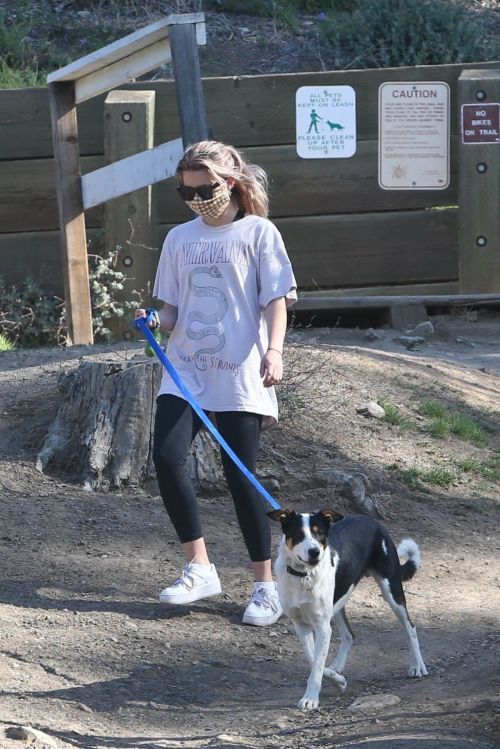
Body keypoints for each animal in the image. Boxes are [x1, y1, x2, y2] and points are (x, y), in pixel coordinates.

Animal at [268, 506, 428, 712]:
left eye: (320, 533)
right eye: (298, 534)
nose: (314, 552)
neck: (303, 575)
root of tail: (372, 521)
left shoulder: (322, 627)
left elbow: (317, 664)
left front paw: (311, 698)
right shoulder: (301, 625)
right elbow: (313, 659)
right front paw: (337, 680)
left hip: (391, 589)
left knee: (410, 627)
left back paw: (417, 666)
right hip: (339, 601)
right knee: (349, 635)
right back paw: (337, 667)